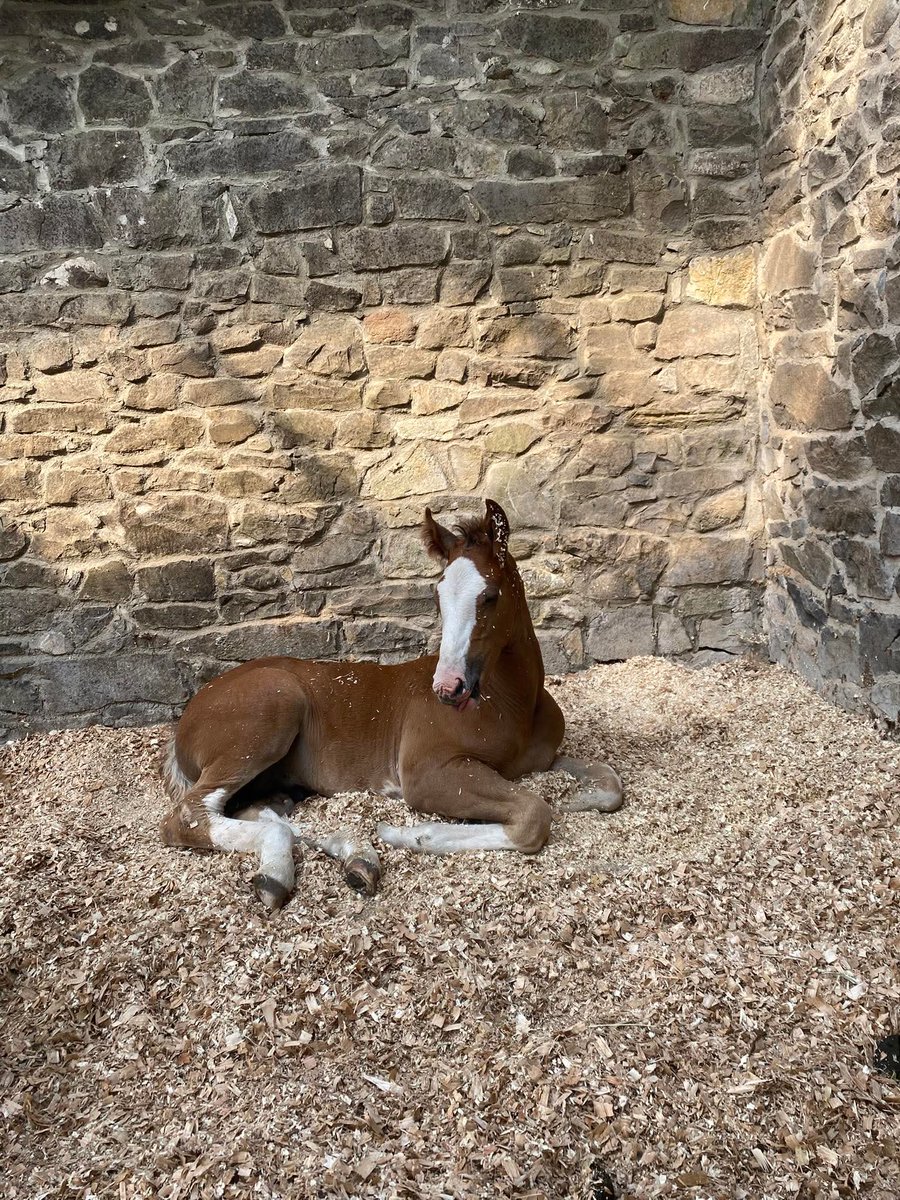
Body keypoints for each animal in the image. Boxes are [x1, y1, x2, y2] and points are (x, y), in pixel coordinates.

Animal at [160, 499, 623, 909]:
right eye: (438, 596)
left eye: (490, 596)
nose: (448, 687)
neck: (513, 704)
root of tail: (190, 714)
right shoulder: (427, 773)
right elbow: (532, 815)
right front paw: (412, 834)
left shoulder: (540, 760)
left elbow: (609, 782)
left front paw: (574, 798)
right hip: (269, 716)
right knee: (187, 815)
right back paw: (281, 874)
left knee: (256, 811)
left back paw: (355, 855)